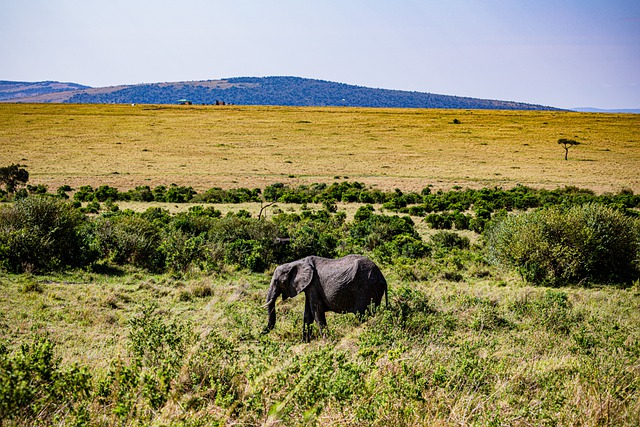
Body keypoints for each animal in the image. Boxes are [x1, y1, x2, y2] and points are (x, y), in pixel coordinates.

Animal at [262, 256, 390, 342]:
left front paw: (326, 341)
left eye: (278, 282)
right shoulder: (310, 286)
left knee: (364, 314)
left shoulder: (313, 284)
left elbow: (316, 311)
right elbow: (308, 314)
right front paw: (305, 342)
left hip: (367, 289)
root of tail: (382, 278)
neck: (297, 262)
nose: (261, 334)